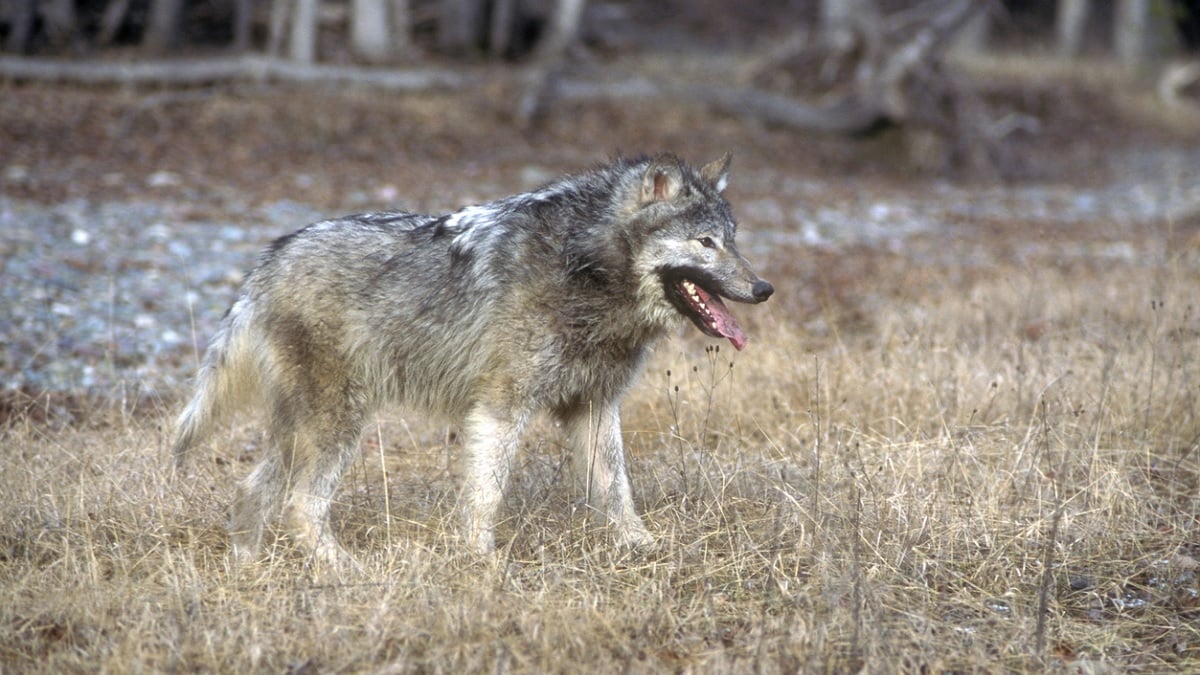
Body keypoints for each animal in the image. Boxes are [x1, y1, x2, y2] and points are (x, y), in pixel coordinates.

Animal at [174, 152, 777, 562]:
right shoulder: (501, 408)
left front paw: (642, 546)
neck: (585, 268)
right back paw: (343, 570)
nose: (764, 288)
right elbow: (487, 495)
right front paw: (483, 562)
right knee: (301, 505)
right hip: (339, 424)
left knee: (253, 491)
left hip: (301, 429)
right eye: (705, 243)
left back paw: (250, 568)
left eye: (733, 239)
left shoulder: (595, 406)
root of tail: (267, 262)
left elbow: (616, 489)